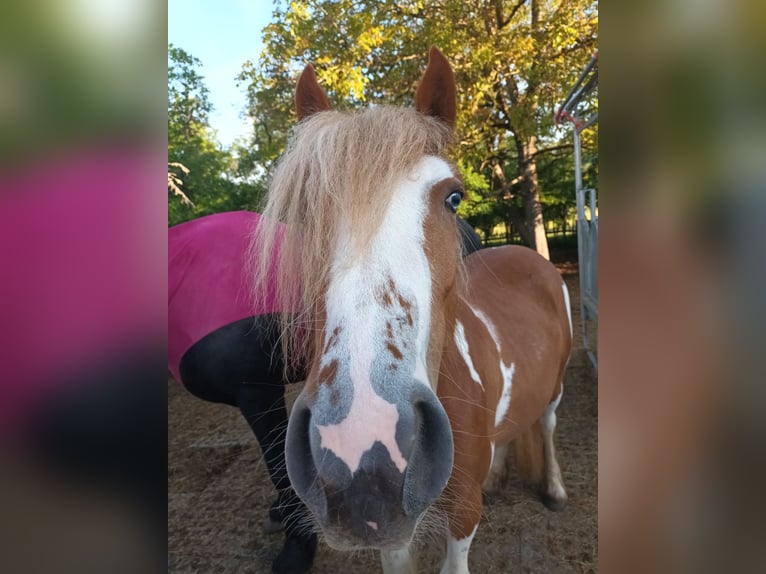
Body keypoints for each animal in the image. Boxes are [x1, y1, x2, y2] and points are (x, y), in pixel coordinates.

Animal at [250, 47, 572, 574]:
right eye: (302, 212)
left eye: (454, 197)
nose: (363, 452)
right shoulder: (394, 537)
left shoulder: (463, 516)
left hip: (556, 385)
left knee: (545, 425)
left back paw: (556, 488)